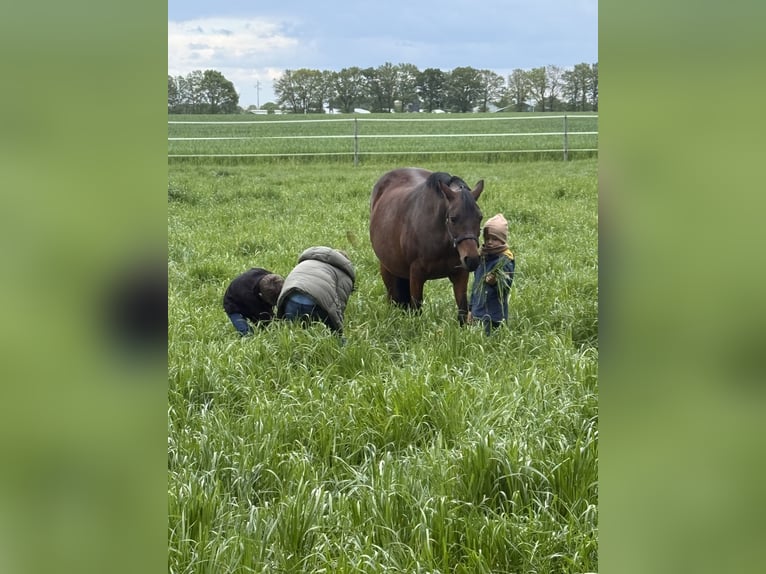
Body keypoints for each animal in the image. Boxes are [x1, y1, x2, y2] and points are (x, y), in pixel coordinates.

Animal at [369, 167, 484, 324]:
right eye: (453, 218)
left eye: (480, 217)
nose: (472, 259)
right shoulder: (416, 274)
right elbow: (416, 308)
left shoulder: (460, 274)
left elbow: (462, 310)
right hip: (387, 268)